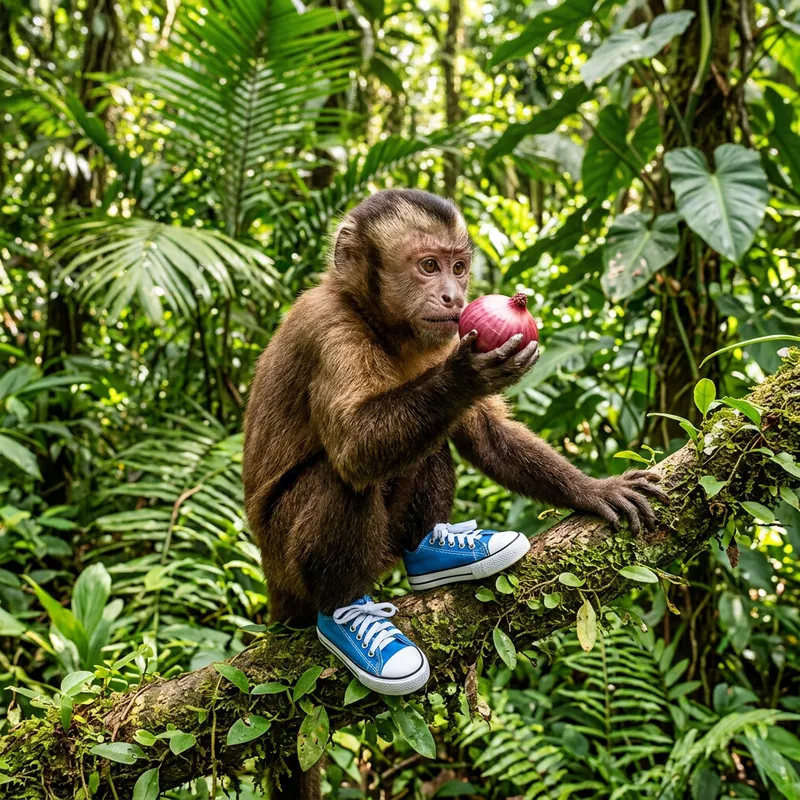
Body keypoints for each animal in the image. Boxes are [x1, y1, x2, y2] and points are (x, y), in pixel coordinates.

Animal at [242, 188, 667, 799]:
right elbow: (354, 448)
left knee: (430, 445)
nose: (453, 295)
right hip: (286, 560)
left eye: (458, 266)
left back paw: (437, 553)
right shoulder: (329, 330)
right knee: (344, 477)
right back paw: (345, 616)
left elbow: (484, 434)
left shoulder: (440, 334)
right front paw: (469, 375)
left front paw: (593, 490)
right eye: (427, 266)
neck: (378, 321)